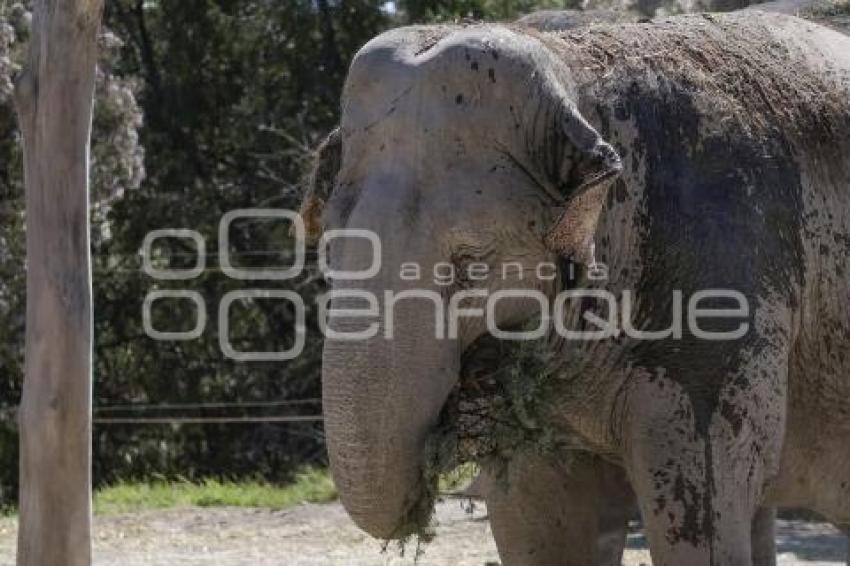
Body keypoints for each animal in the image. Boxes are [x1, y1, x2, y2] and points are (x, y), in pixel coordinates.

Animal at [302, 8, 848, 566]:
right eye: (329, 249)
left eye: (471, 262)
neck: (576, 70)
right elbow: (539, 518)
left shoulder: (722, 279)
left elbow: (704, 507)